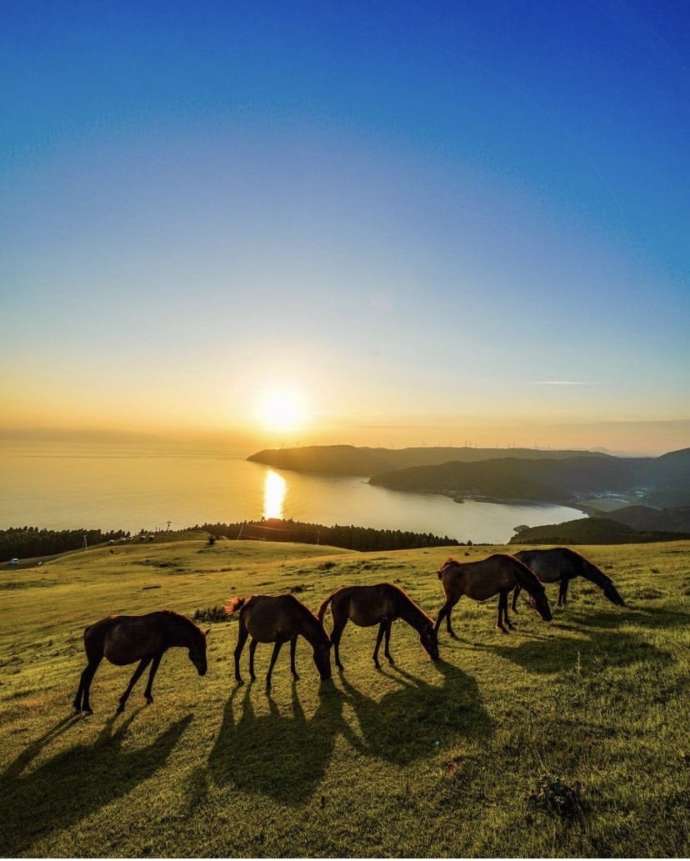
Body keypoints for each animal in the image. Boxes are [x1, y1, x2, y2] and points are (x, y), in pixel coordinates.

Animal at [72, 608, 208, 716]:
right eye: (199, 650)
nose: (204, 671)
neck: (165, 628)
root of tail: (90, 628)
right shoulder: (147, 656)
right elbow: (135, 677)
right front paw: (122, 703)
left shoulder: (157, 654)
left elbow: (152, 674)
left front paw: (148, 696)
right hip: (95, 658)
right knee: (88, 676)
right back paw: (86, 707)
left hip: (94, 659)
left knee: (84, 675)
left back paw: (78, 705)